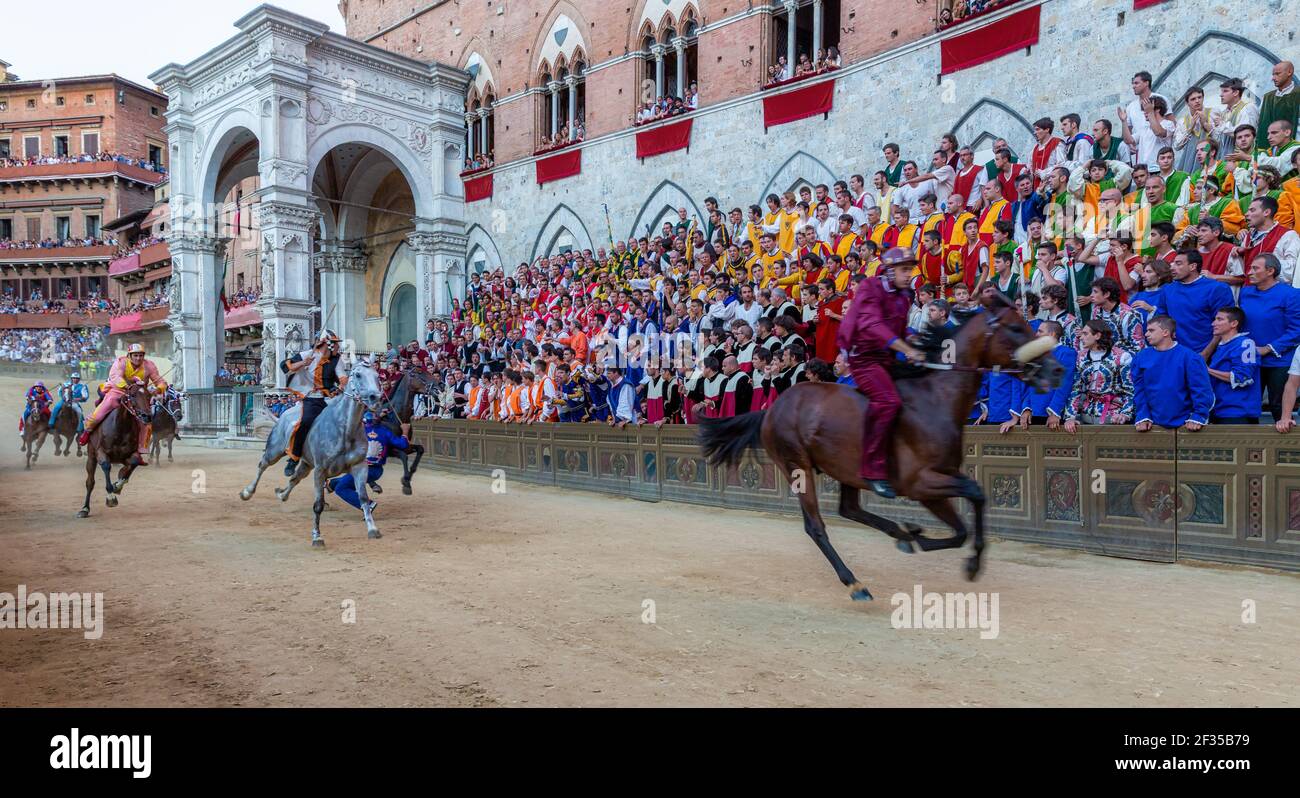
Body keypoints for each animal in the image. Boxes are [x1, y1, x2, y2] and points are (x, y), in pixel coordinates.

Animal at [77, 387, 153, 522]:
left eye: (149, 395)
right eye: (132, 395)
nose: (147, 416)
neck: (120, 427)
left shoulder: (130, 454)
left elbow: (133, 463)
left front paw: (118, 485)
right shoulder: (100, 452)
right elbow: (106, 466)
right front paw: (111, 498)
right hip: (91, 456)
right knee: (90, 482)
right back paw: (84, 509)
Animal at [240, 363, 384, 551]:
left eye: (377, 375)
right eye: (358, 375)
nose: (376, 398)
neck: (345, 429)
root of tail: (285, 415)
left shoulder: (359, 466)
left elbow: (363, 498)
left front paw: (373, 529)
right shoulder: (320, 471)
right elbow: (318, 505)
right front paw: (317, 537)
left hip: (306, 465)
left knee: (294, 478)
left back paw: (282, 494)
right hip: (275, 451)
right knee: (262, 465)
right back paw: (247, 492)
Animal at [696, 292, 1060, 600]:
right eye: (1016, 327)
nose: (1056, 370)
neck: (935, 399)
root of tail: (772, 408)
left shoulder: (935, 483)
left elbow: (962, 527)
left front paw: (921, 539)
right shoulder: (920, 483)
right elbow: (976, 494)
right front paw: (967, 561)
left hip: (845, 469)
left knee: (849, 509)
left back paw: (901, 534)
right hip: (796, 466)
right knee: (816, 526)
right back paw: (855, 582)